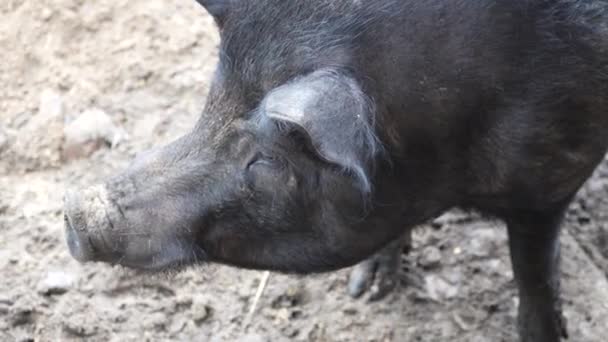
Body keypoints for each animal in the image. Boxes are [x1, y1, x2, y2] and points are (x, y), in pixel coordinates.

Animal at [63, 1, 608, 340]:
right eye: (209, 107)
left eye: (266, 160)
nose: (74, 211)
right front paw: (366, 293)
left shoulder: (546, 184)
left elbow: (535, 278)